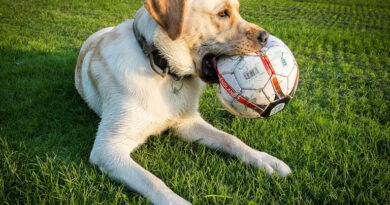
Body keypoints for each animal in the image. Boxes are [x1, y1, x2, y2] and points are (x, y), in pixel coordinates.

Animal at [74, 0, 290, 203]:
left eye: (237, 10)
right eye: (223, 13)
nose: (265, 37)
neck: (162, 68)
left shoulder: (187, 123)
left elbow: (230, 138)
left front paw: (263, 158)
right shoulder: (108, 148)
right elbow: (153, 181)